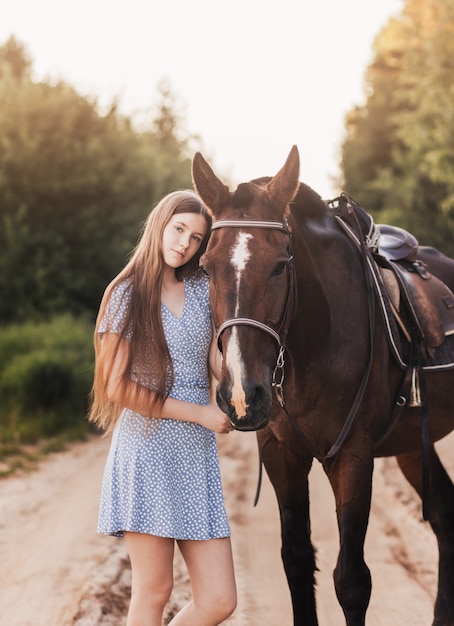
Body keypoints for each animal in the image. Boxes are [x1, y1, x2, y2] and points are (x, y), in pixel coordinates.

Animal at [192, 146, 454, 624]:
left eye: (280, 267)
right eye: (205, 268)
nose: (242, 394)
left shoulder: (353, 456)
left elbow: (351, 581)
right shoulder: (281, 453)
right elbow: (296, 561)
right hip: (412, 443)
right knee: (445, 515)